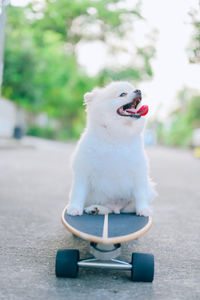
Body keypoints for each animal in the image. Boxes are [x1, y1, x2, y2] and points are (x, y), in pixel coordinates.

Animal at [67, 82, 156, 216]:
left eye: (133, 89)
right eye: (123, 94)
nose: (138, 91)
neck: (116, 136)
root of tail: (116, 207)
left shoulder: (139, 172)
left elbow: (140, 195)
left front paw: (143, 209)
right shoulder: (84, 171)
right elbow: (78, 192)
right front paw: (74, 208)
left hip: (146, 190)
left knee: (129, 207)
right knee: (107, 208)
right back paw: (95, 208)